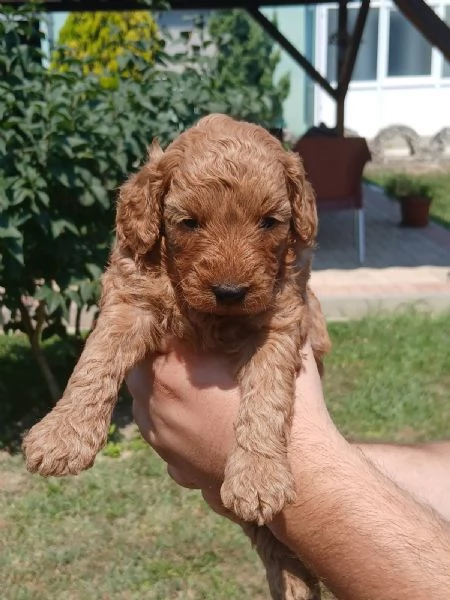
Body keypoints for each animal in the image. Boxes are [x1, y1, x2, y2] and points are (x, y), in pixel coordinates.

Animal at [22, 113, 330, 600]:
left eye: (270, 222)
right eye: (188, 223)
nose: (230, 292)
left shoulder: (282, 318)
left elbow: (266, 396)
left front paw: (258, 475)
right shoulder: (130, 299)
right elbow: (95, 360)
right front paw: (62, 436)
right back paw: (295, 584)